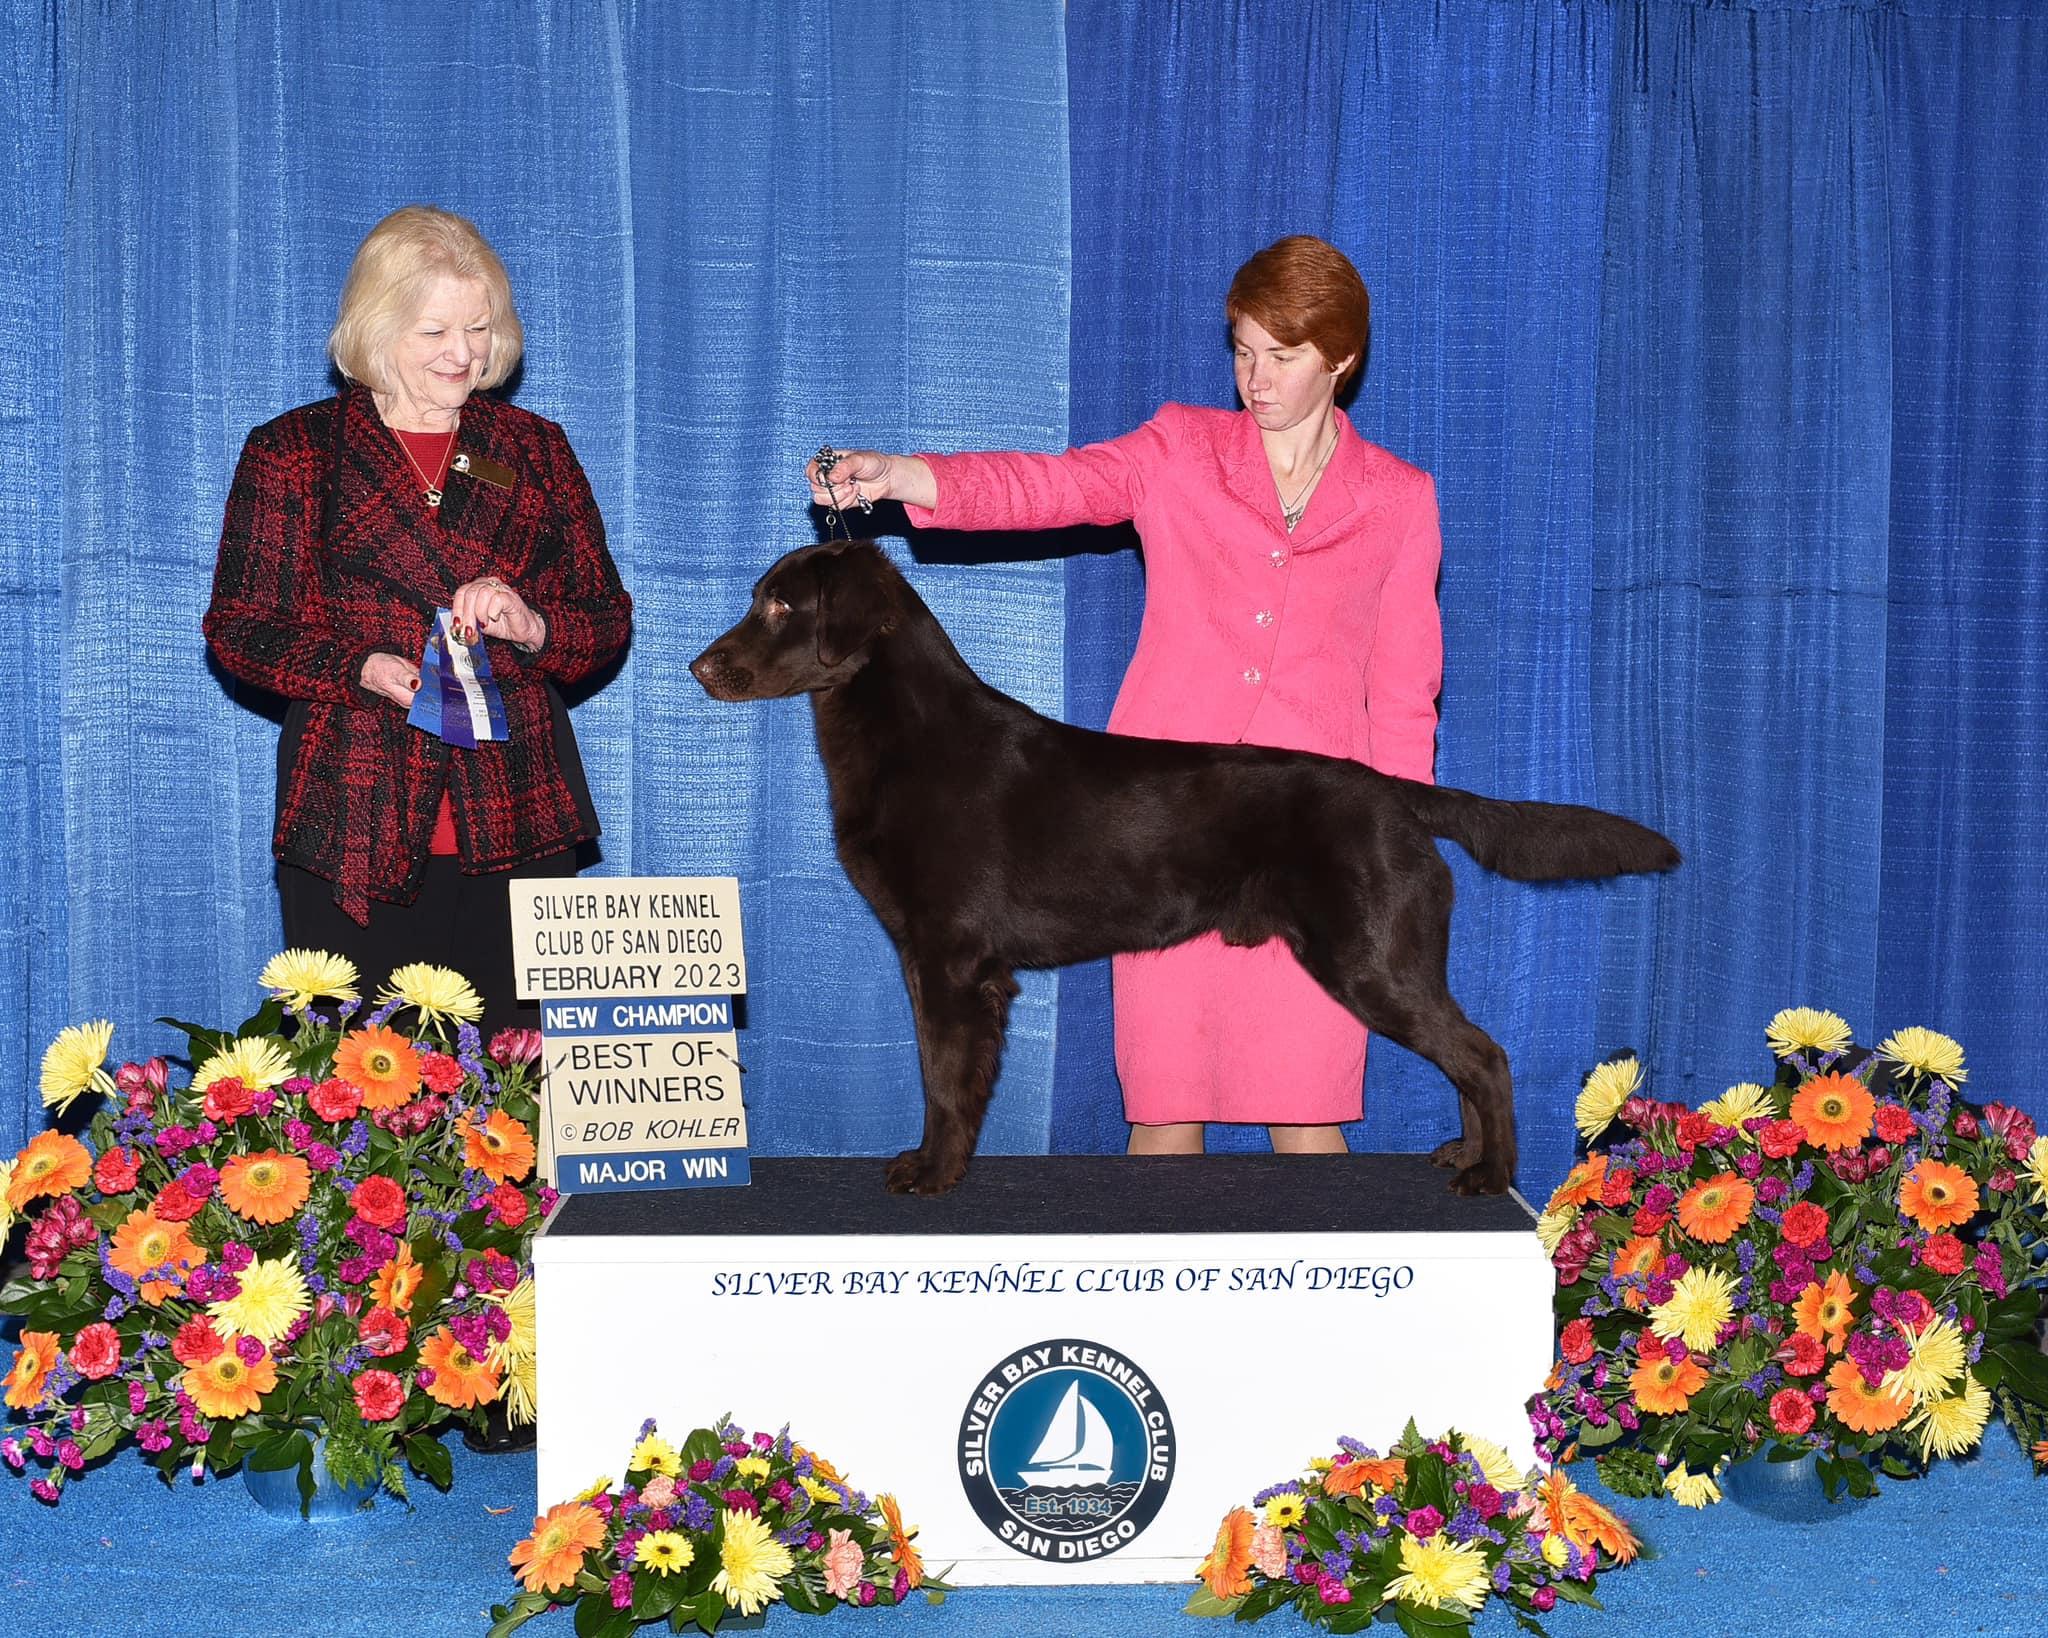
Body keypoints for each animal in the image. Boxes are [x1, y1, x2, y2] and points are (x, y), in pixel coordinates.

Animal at [690, 541, 1679, 1198]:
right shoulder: (930, 958)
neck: (905, 741)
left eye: (780, 606)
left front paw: (932, 1172)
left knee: (1485, 1054)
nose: (699, 666)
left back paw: (1491, 1173)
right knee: (1470, 1056)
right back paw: (1468, 1157)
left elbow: (945, 1077)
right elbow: (947, 1074)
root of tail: (1396, 792)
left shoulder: (952, 962)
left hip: (1373, 960)